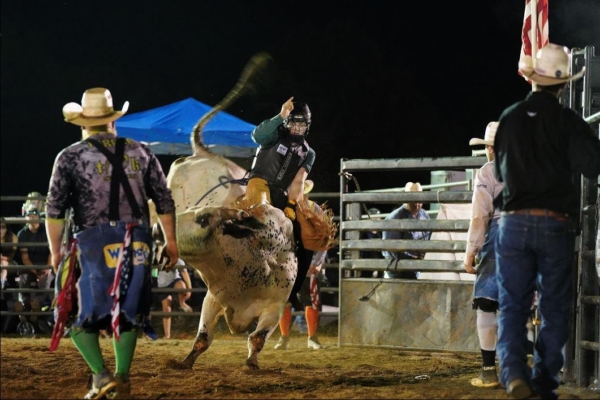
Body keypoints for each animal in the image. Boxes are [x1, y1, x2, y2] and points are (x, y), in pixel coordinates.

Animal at [152, 52, 336, 368]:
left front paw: (251, 363)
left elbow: (258, 337)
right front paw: (186, 361)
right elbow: (203, 338)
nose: (157, 233)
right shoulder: (214, 297)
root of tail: (204, 153)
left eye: (202, 218)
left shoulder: (275, 304)